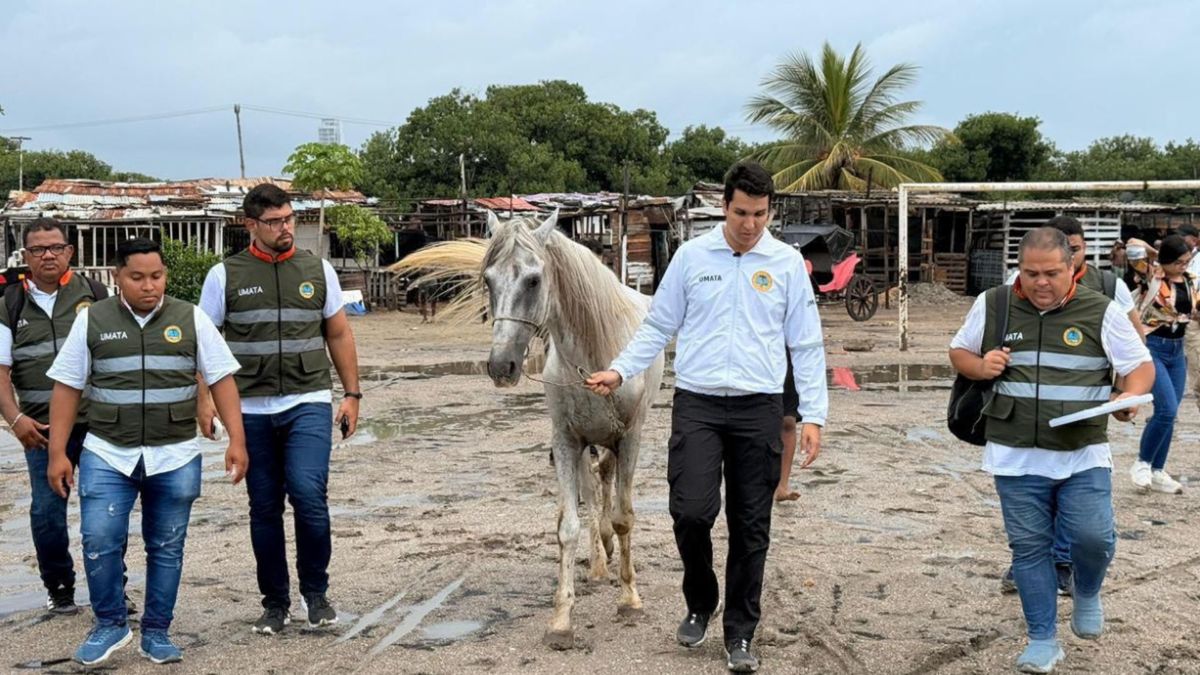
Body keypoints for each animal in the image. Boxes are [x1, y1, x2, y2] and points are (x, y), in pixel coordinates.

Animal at [392, 210, 664, 648]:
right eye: (488, 280)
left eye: (534, 280)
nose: (501, 366)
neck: (596, 354)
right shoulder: (567, 441)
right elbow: (568, 527)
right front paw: (562, 620)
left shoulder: (630, 438)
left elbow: (624, 517)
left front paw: (630, 599)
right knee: (594, 487)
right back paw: (598, 561)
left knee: (606, 483)